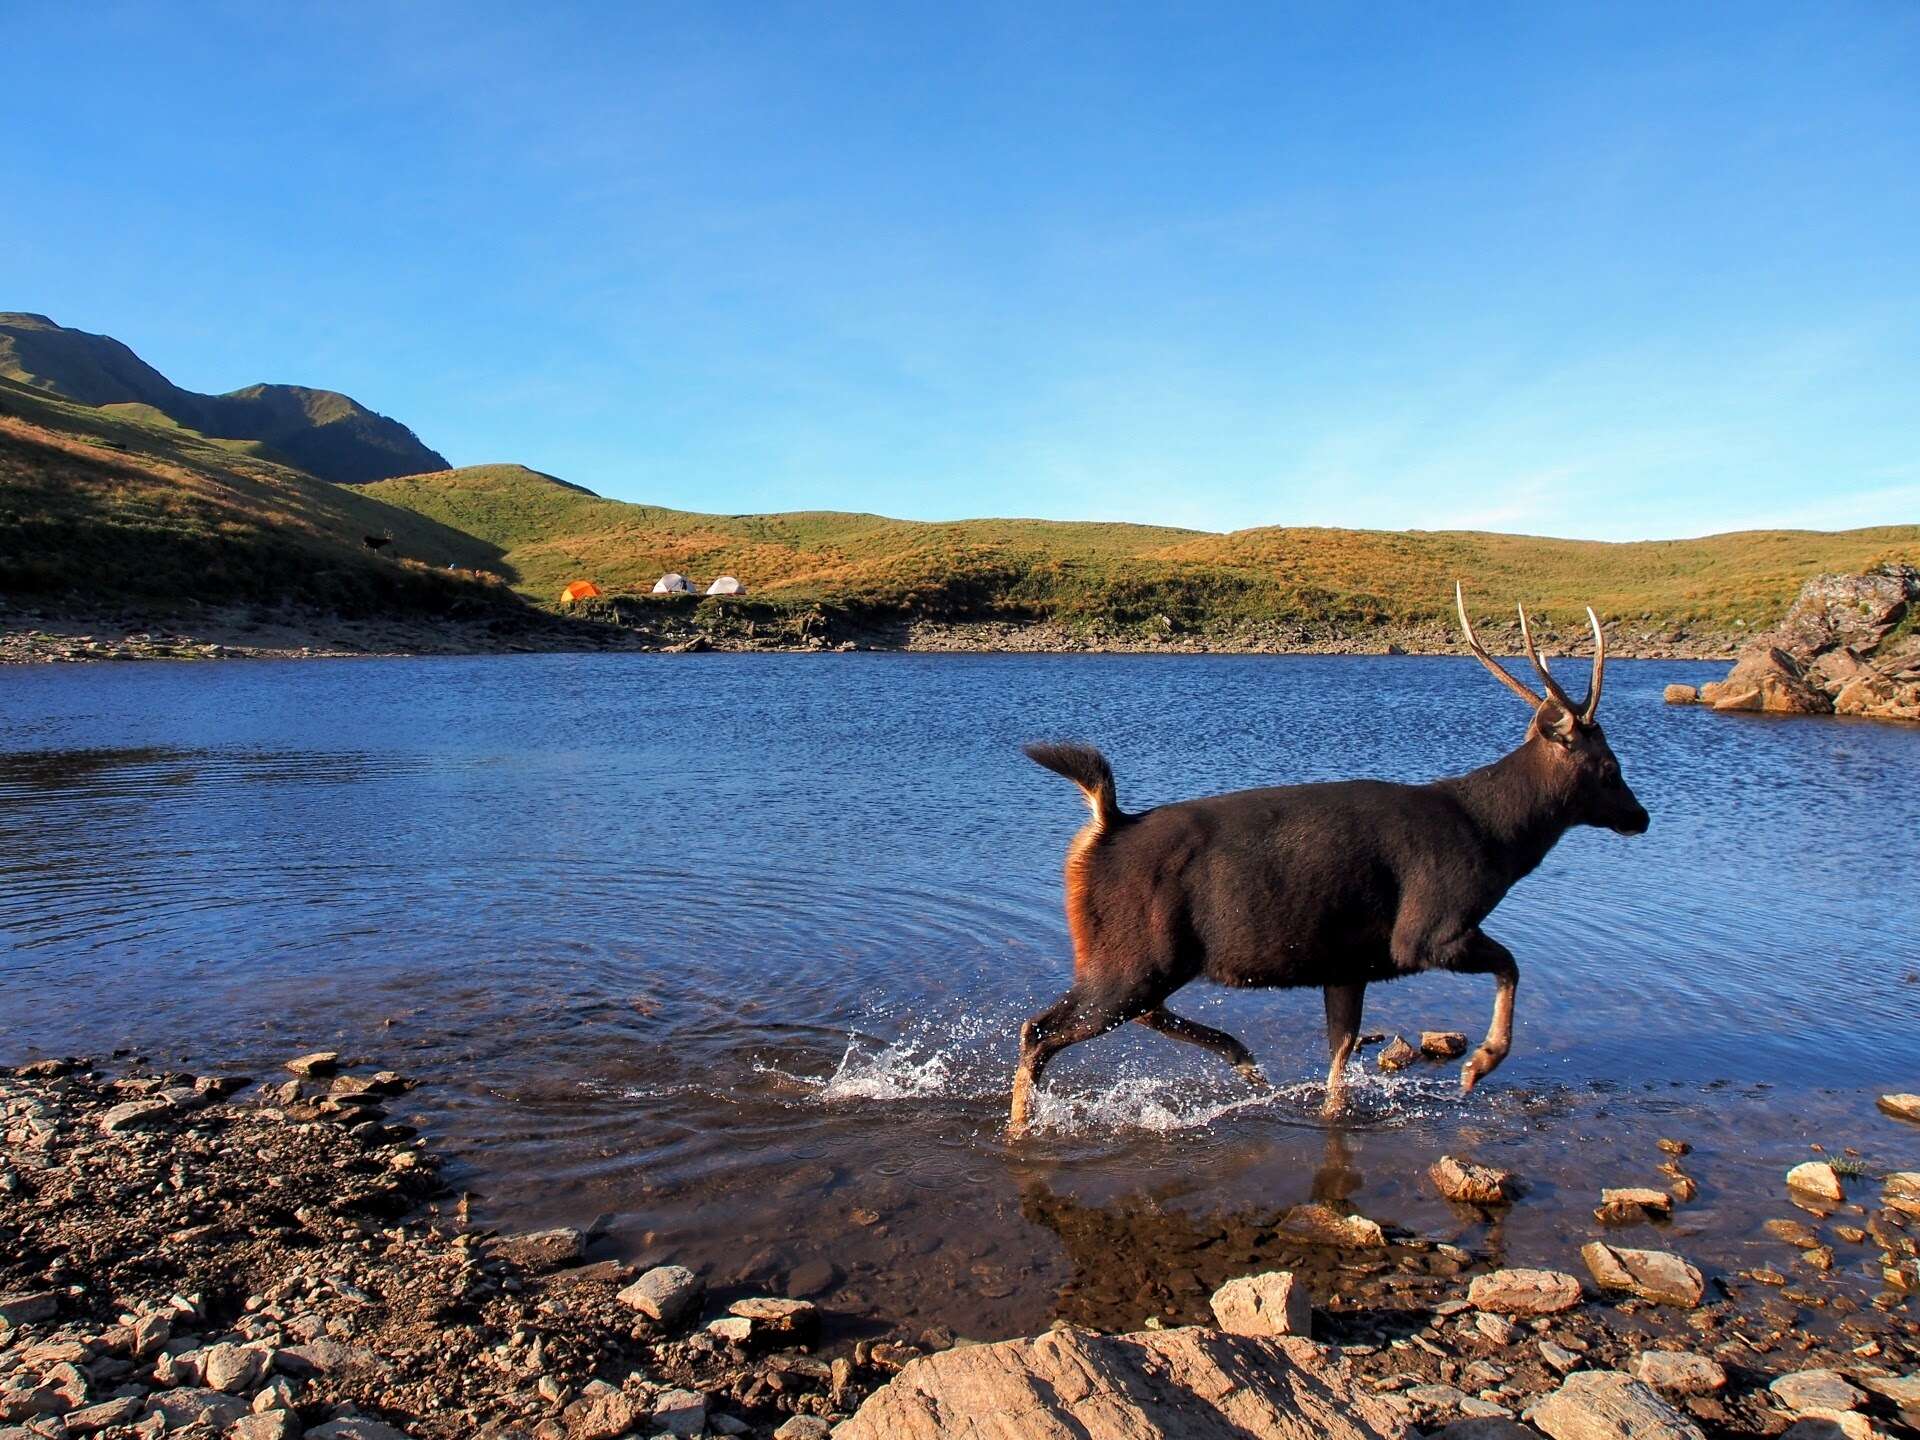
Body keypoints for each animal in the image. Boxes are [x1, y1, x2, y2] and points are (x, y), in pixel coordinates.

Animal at [1006, 587, 1651, 1136]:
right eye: (1609, 766)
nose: (1641, 817)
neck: (1495, 838)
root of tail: (1106, 824)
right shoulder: (1427, 930)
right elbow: (1512, 964)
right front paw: (1481, 1064)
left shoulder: (1349, 960)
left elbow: (1339, 1063)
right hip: (1135, 957)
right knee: (1040, 1031)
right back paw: (1022, 1126)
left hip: (1139, 958)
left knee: (1122, 1017)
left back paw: (1244, 1060)